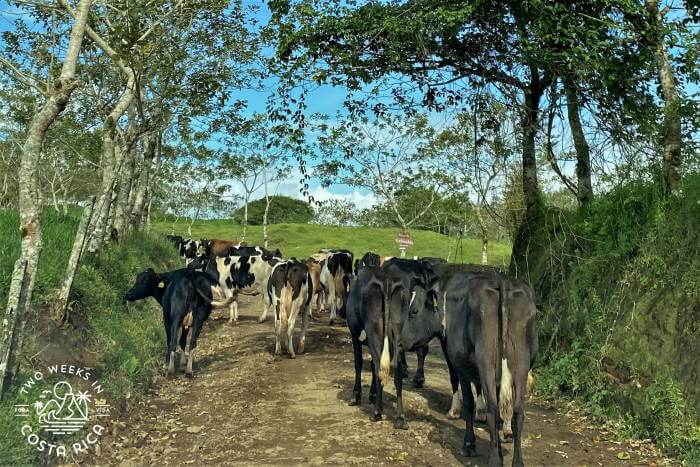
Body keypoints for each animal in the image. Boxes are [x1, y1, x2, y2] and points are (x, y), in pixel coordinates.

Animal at [441, 273, 538, 467]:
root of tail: (502, 281)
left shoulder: (462, 369)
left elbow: (469, 402)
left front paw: (469, 445)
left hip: (486, 356)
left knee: (492, 407)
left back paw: (494, 460)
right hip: (521, 359)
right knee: (517, 410)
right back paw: (517, 461)